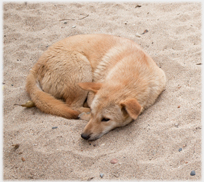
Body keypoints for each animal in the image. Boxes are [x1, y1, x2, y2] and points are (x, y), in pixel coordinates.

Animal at [25, 33, 166, 140]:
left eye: (106, 119)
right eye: (93, 113)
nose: (84, 136)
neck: (133, 73)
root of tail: (37, 65)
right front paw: (85, 115)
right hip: (82, 69)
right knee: (72, 106)